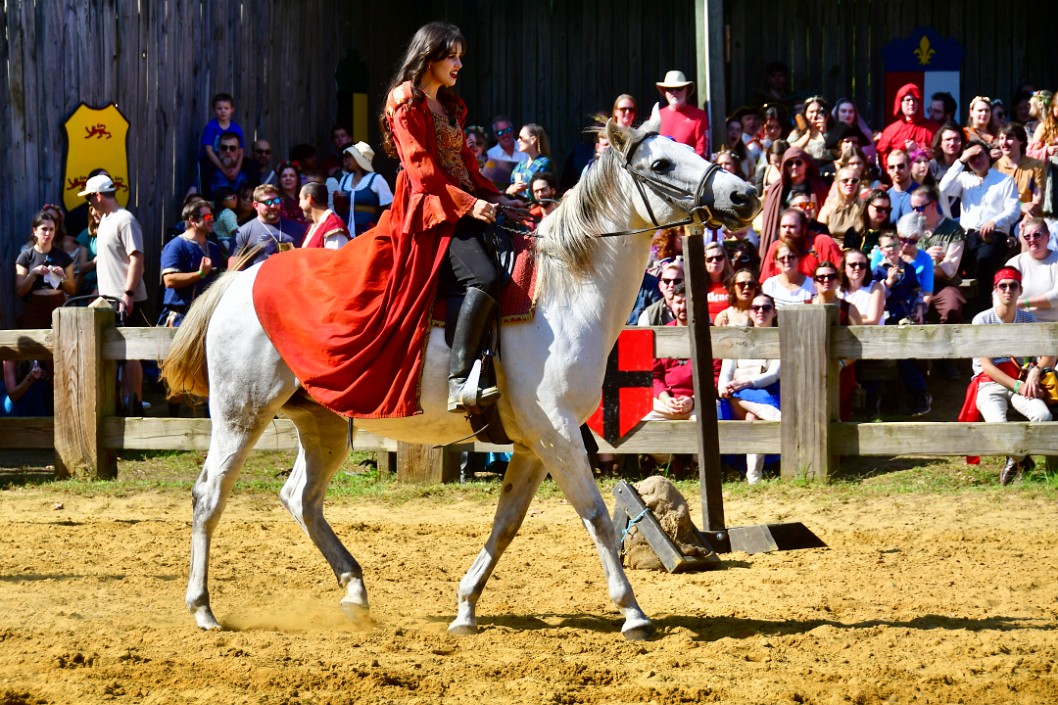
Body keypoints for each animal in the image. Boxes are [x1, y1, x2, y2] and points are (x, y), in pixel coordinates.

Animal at [162, 119, 761, 635]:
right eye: (661, 162)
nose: (744, 196)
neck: (567, 289)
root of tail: (239, 282)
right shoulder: (557, 433)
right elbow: (596, 516)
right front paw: (633, 612)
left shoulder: (533, 443)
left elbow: (506, 525)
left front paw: (467, 607)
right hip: (241, 416)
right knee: (210, 495)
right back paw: (203, 609)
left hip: (323, 423)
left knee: (301, 498)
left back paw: (354, 590)